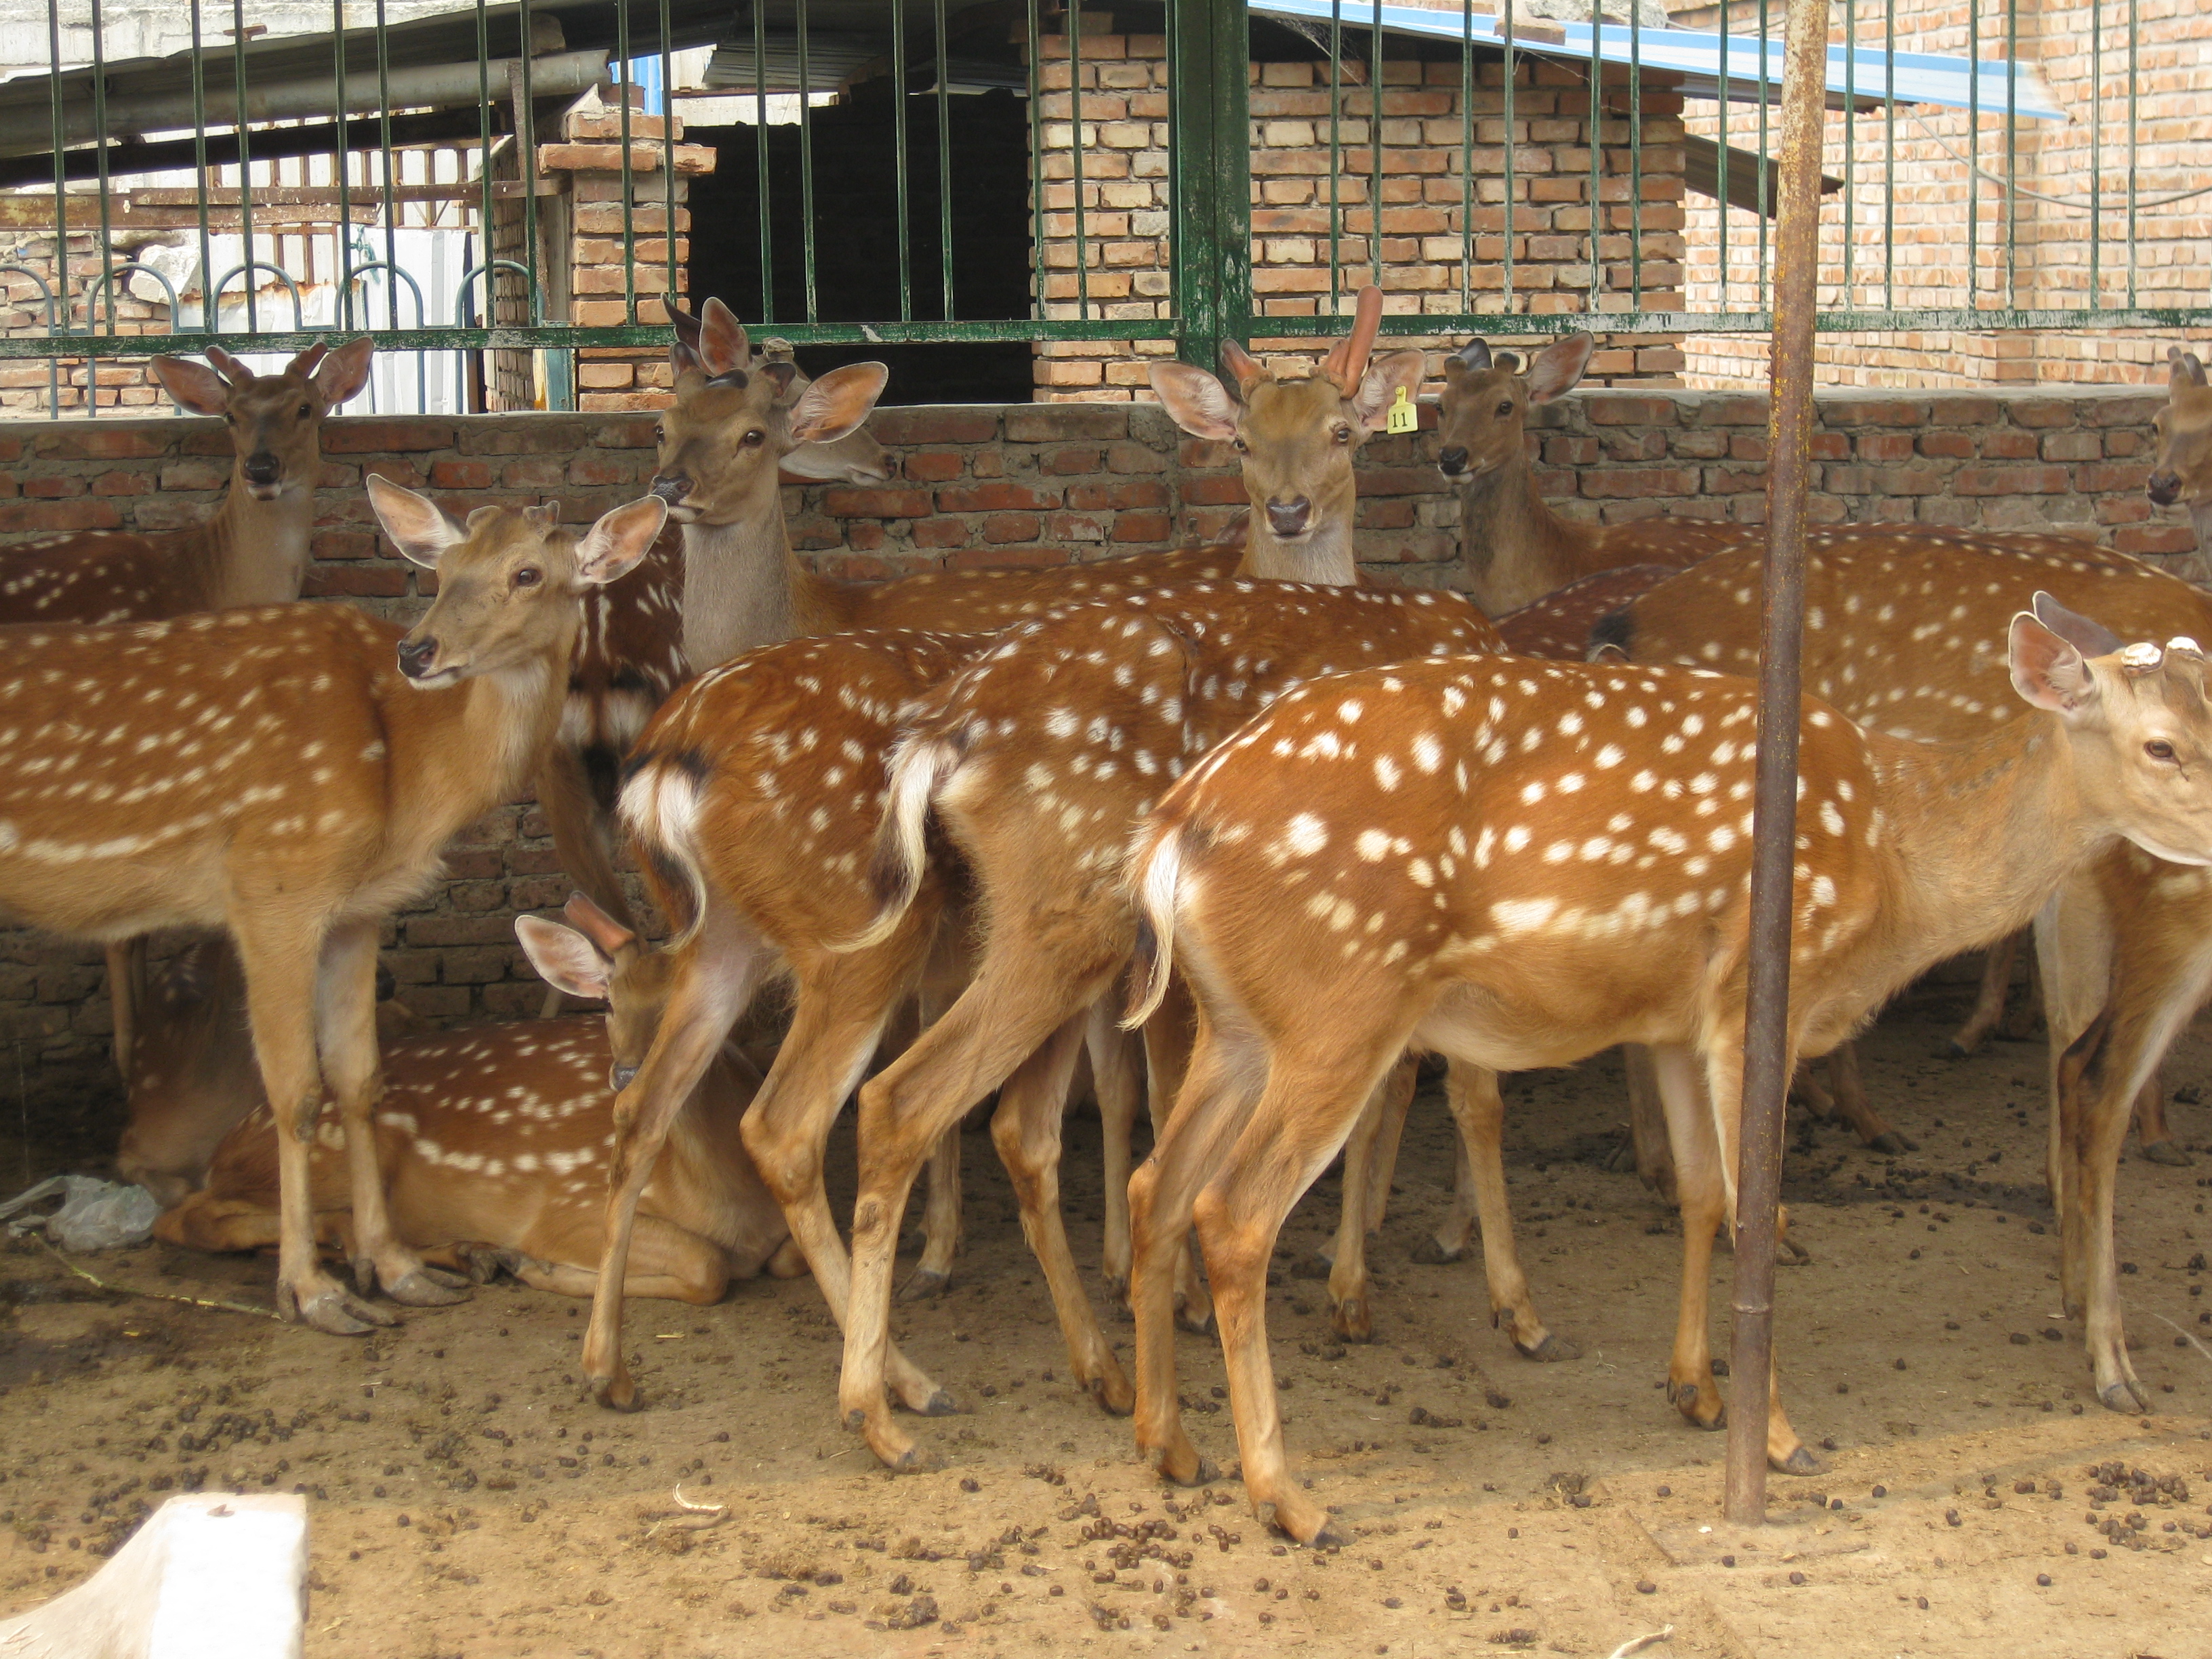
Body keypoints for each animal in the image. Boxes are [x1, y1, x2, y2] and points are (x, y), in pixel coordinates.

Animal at [0, 342, 375, 1084]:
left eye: (305, 407)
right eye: (230, 415)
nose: (261, 468)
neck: (201, 580)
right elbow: (123, 925)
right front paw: (128, 1061)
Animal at [0, 473, 663, 1336]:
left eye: (527, 573)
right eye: (442, 570)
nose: (418, 652)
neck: (410, 782)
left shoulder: (356, 910)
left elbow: (359, 1080)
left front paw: (400, 1271)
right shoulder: (274, 880)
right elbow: (295, 1092)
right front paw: (313, 1292)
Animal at [140, 902, 796, 1309]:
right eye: (608, 1001)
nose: (628, 1074)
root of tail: (226, 1143)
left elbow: (774, 1261)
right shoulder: (565, 1206)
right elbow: (707, 1266)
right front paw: (539, 1267)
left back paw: (465, 1255)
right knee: (182, 1217)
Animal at [1132, 597, 2212, 1548]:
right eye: (2162, 744)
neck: (1901, 861)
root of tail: (1171, 831)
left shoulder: (1679, 1021)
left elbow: (1698, 1193)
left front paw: (1695, 1389)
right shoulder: (1759, 996)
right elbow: (1753, 1210)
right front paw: (1781, 1439)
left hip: (1240, 1025)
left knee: (1158, 1184)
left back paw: (1172, 1448)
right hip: (1339, 1004)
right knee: (1234, 1214)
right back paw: (1288, 1500)